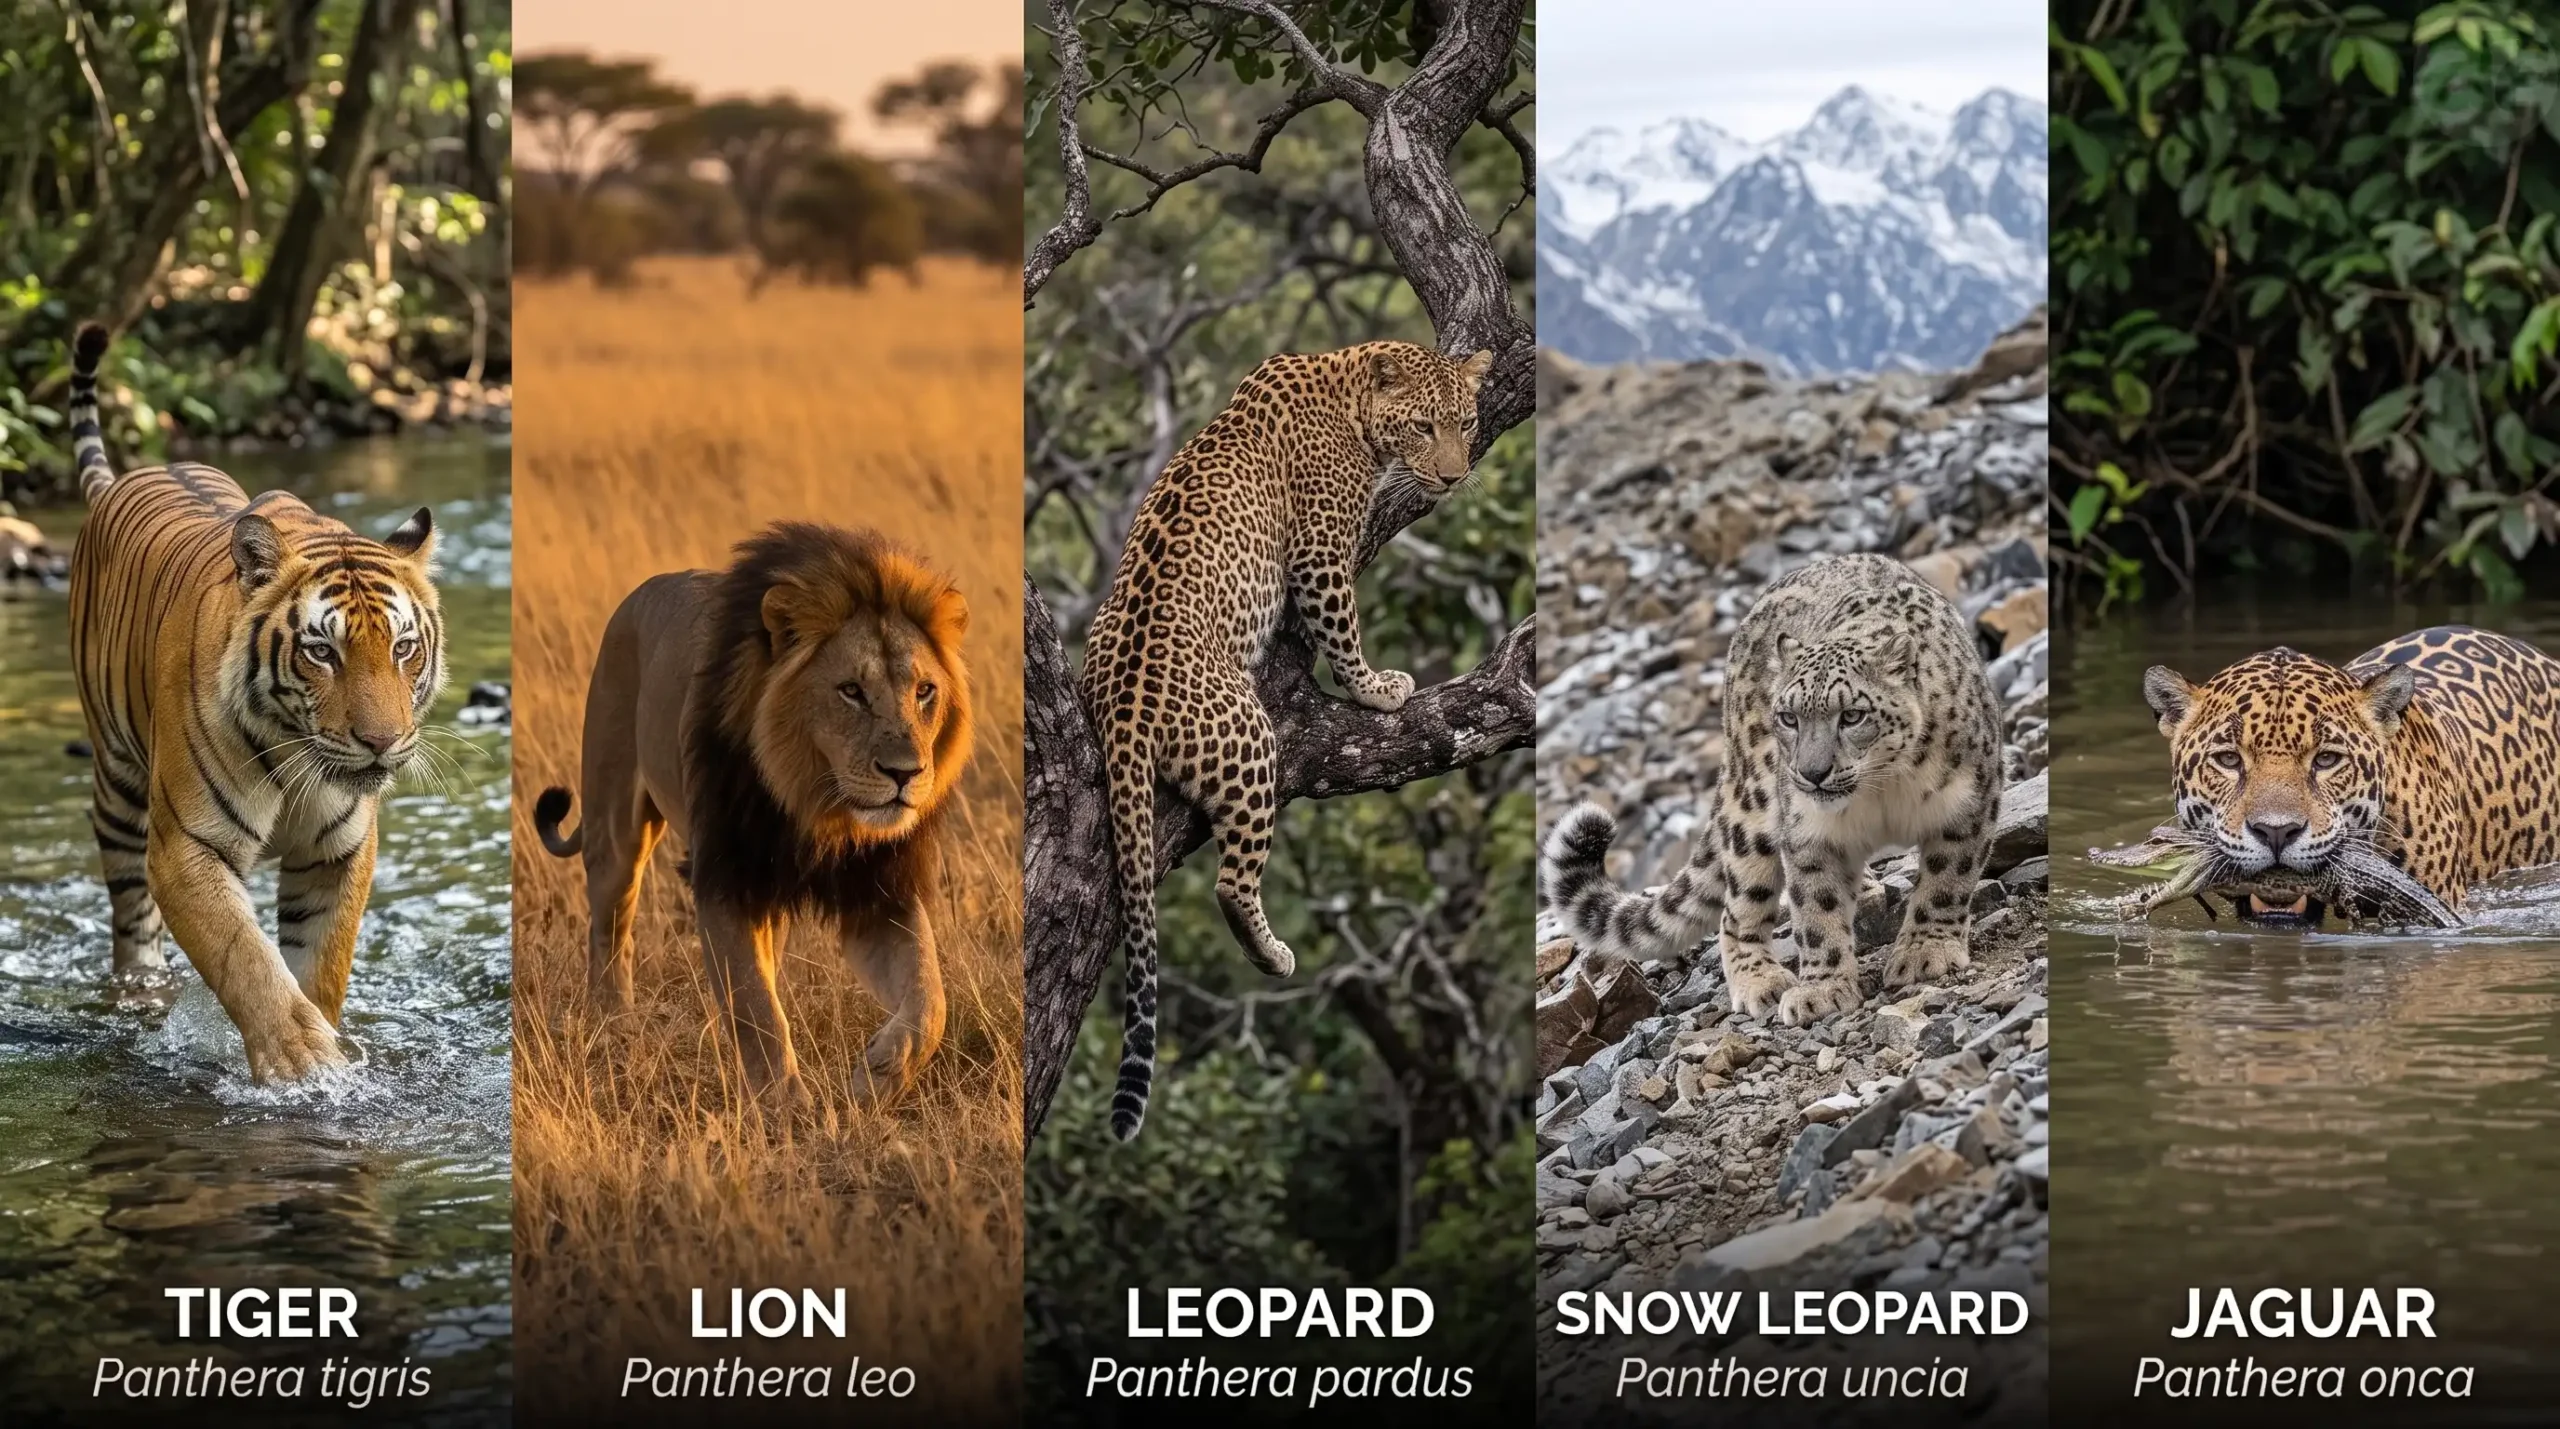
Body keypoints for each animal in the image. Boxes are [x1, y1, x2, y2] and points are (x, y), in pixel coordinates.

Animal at [64, 322, 447, 1082]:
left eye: (403, 648)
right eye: (321, 651)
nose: (382, 742)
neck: (298, 754)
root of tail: (123, 477)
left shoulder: (340, 852)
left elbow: (319, 966)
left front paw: (331, 1051)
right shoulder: (187, 846)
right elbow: (246, 959)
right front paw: (304, 1066)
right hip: (119, 788)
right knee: (132, 923)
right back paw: (139, 997)